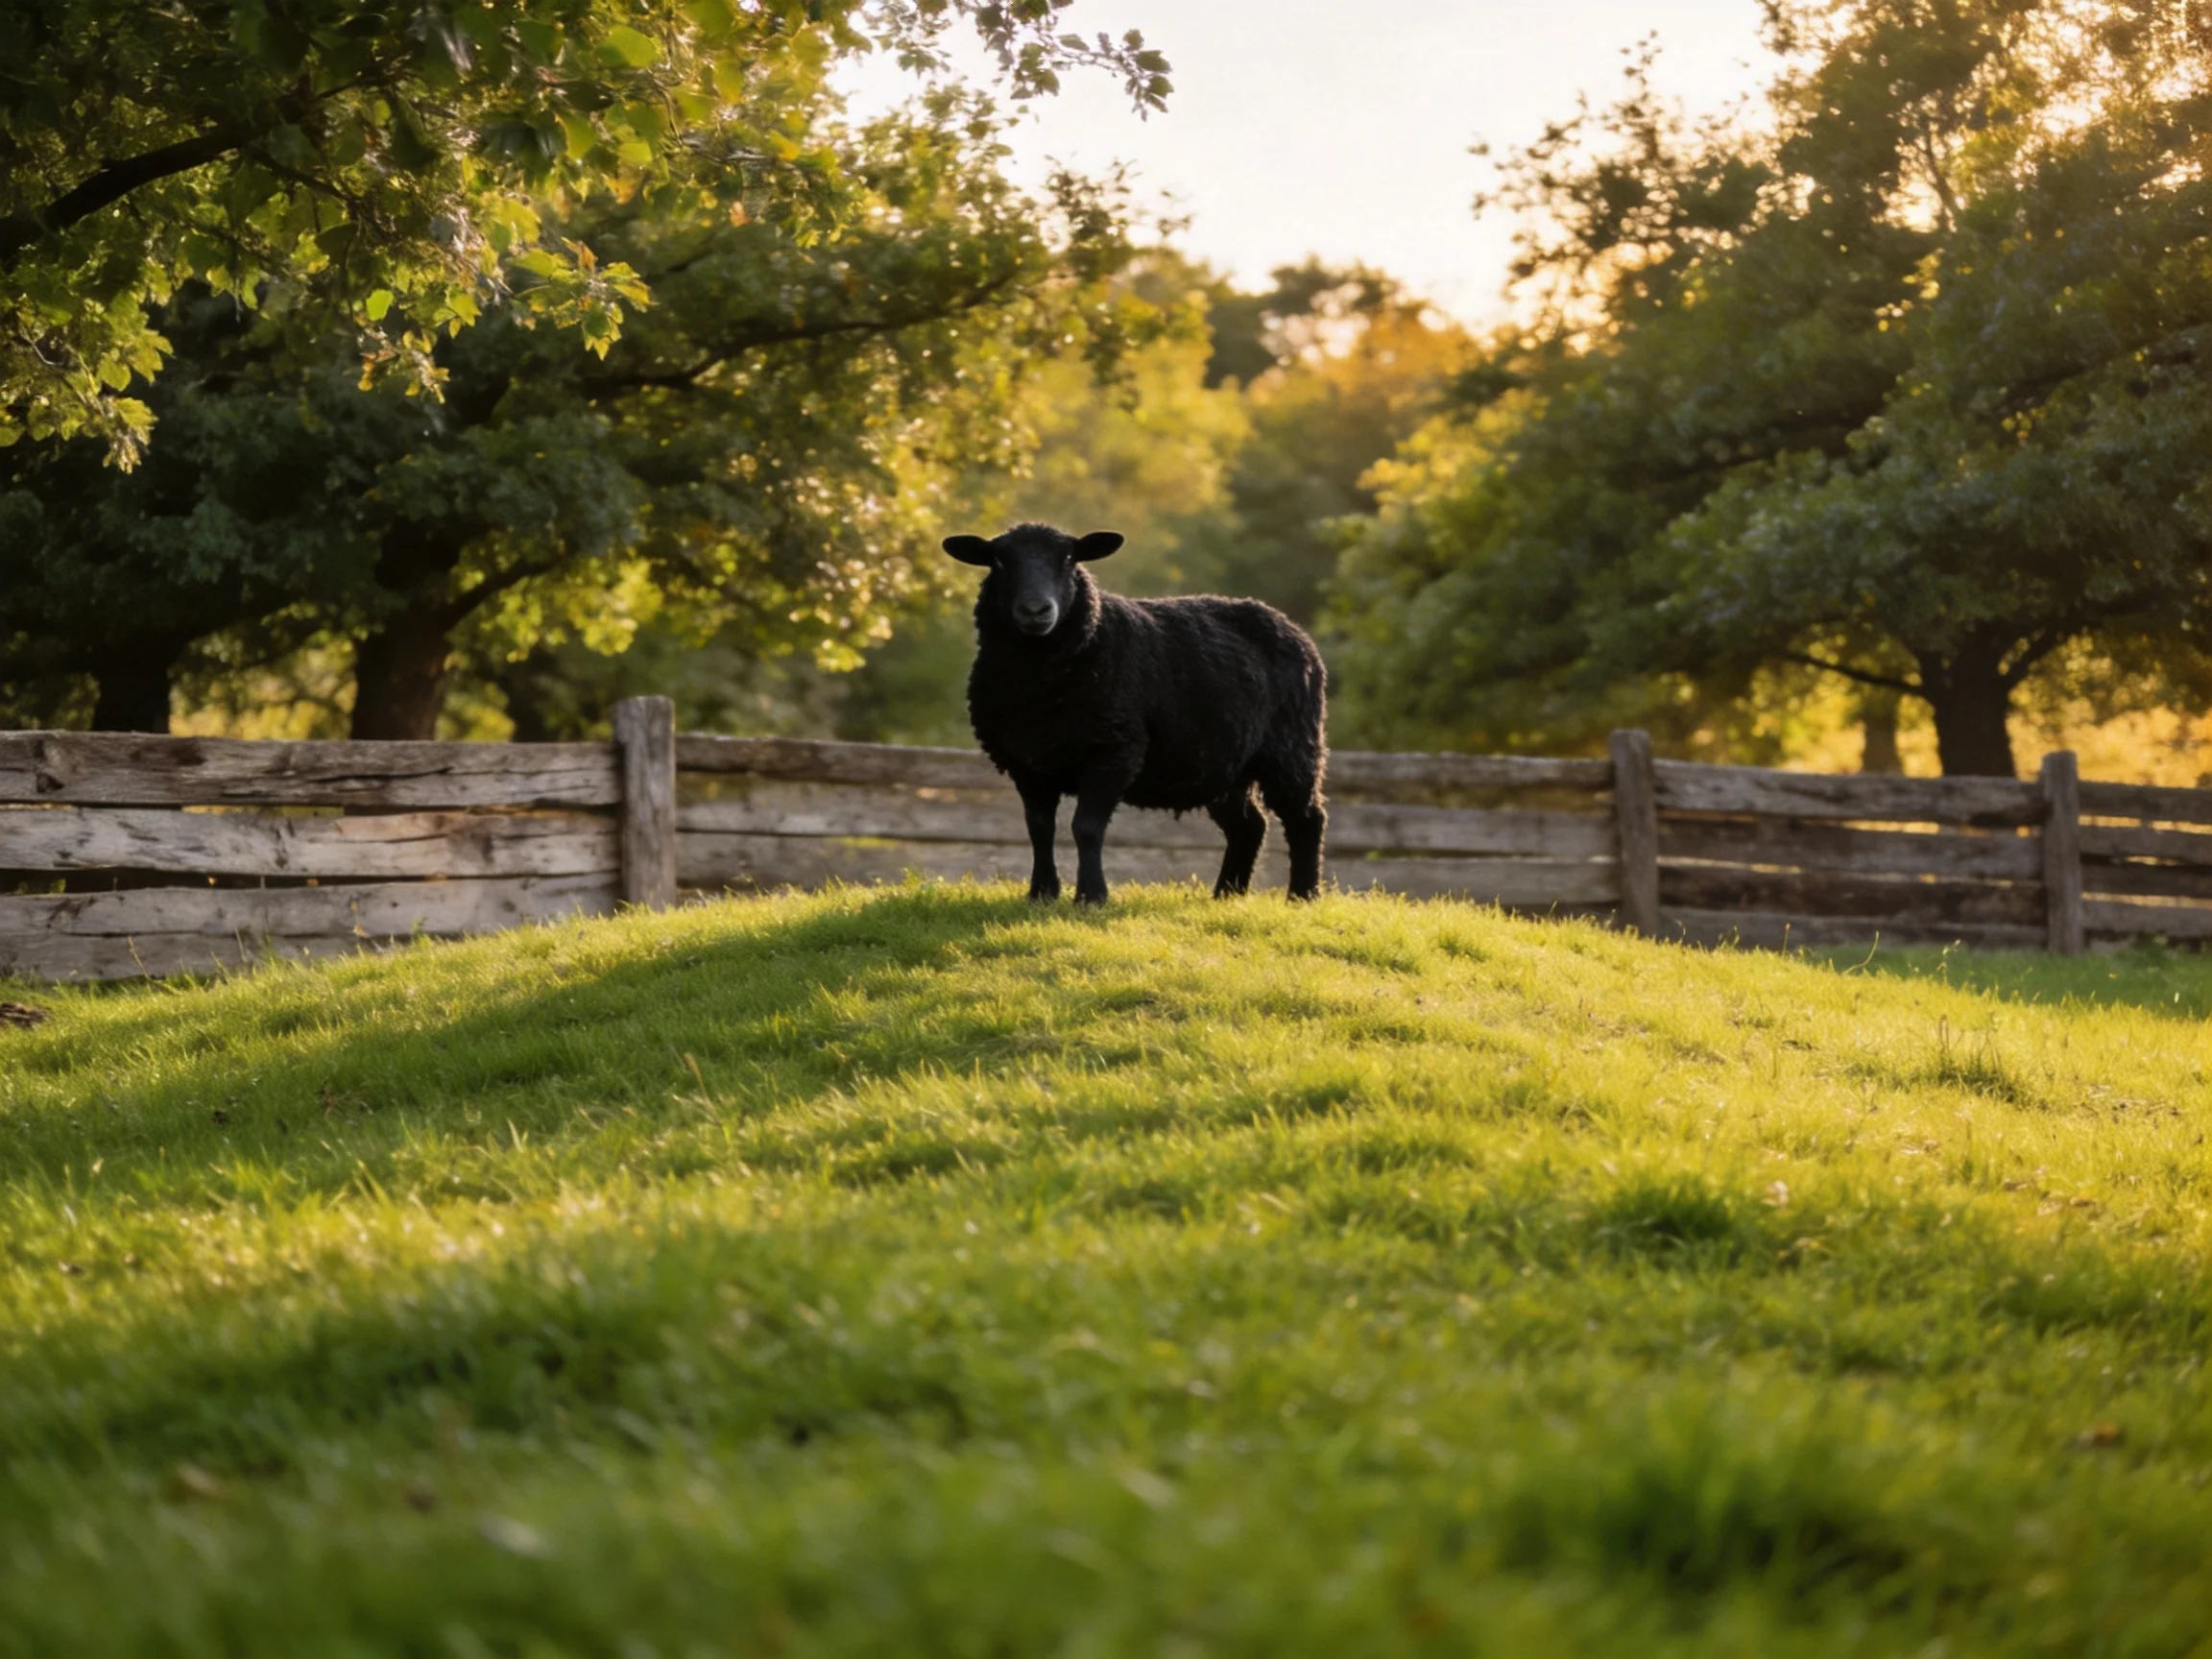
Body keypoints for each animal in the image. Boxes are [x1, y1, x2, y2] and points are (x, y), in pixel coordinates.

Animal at [944, 521, 1328, 905]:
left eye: (1068, 559)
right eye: (999, 561)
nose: (1037, 610)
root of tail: (1289, 624)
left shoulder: (1115, 750)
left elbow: (1086, 826)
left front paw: (1091, 896)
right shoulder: (1026, 762)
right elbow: (1039, 829)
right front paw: (1041, 893)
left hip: (1292, 747)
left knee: (1306, 818)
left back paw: (1302, 896)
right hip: (1224, 765)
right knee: (1248, 825)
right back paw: (1226, 895)